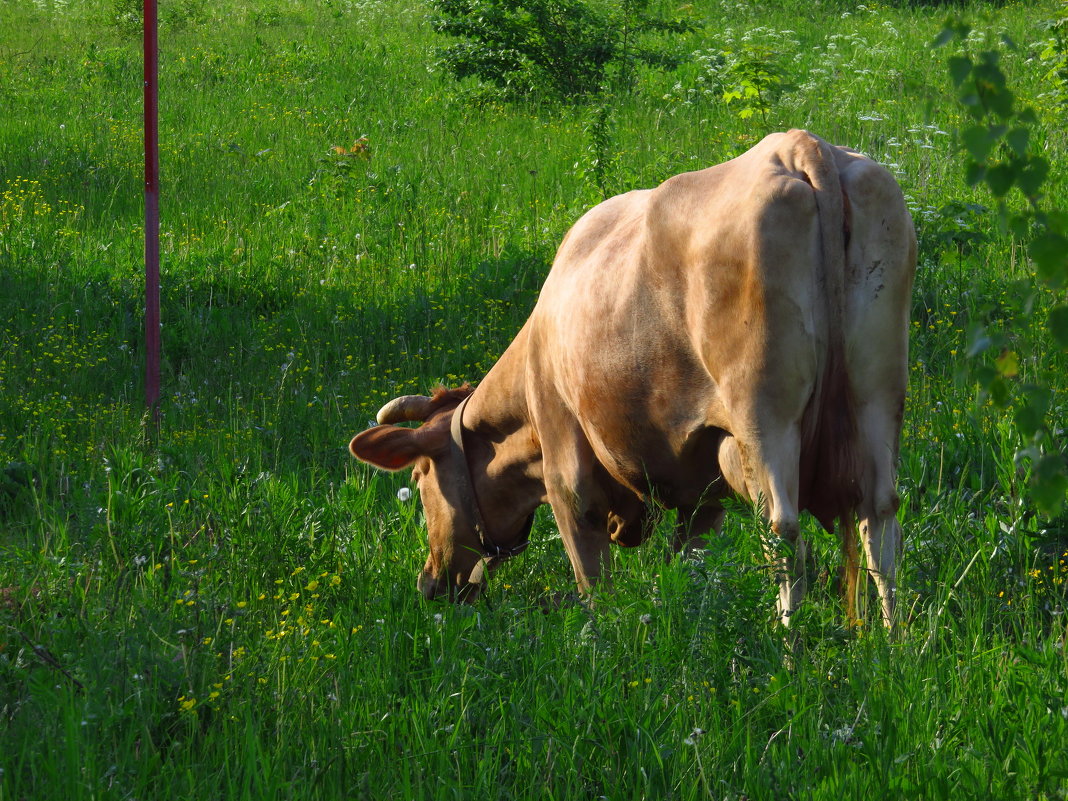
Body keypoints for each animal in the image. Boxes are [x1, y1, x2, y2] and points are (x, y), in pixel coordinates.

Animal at [350, 130, 918, 627]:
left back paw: (790, 650)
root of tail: (800, 145)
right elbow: (689, 565)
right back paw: (891, 645)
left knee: (782, 532)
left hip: (764, 413)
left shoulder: (566, 466)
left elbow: (592, 580)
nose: (429, 584)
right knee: (880, 519)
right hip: (878, 394)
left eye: (419, 478)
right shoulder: (703, 485)